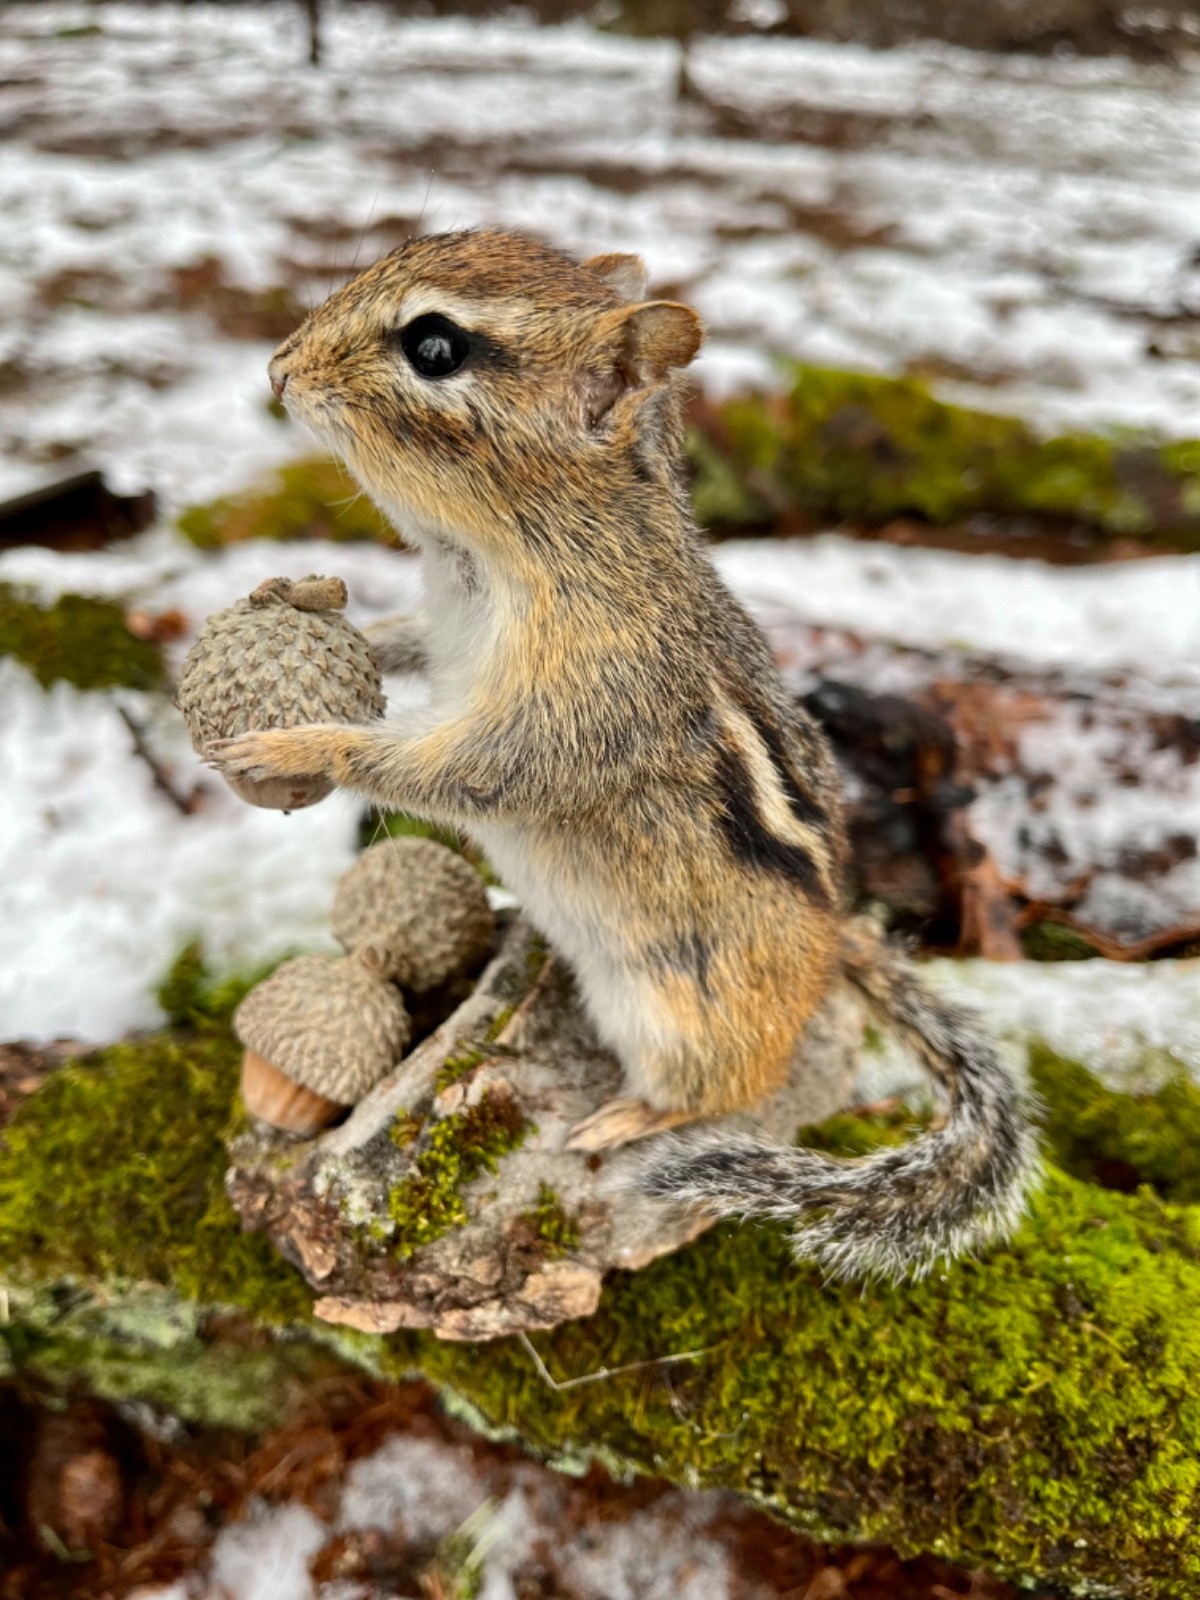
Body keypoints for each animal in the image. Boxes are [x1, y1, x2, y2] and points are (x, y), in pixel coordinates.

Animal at [211, 228, 1037, 1279]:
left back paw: (626, 1120)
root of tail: (834, 943)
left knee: (724, 1089)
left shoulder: (575, 707)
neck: (503, 550)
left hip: (677, 1018)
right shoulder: (445, 634)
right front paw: (296, 594)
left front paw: (300, 739)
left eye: (435, 347)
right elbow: (399, 644)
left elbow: (457, 771)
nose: (278, 371)